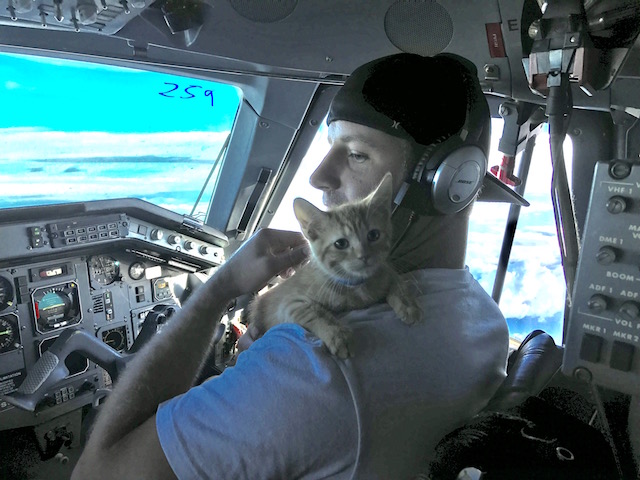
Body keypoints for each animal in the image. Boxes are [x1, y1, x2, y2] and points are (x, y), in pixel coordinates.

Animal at [244, 173, 421, 358]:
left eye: (374, 235)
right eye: (341, 244)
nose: (364, 256)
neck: (356, 287)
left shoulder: (385, 270)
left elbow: (397, 282)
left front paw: (407, 304)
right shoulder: (289, 303)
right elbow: (314, 312)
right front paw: (338, 335)